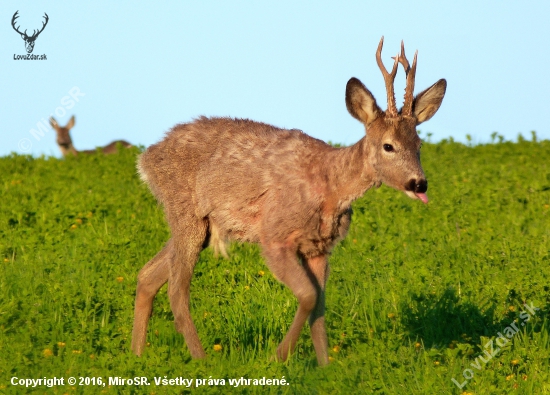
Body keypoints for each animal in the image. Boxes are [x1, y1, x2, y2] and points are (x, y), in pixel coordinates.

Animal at [133, 38, 448, 368]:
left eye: (419, 144)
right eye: (389, 146)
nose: (419, 183)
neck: (330, 187)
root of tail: (146, 158)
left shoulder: (320, 247)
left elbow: (320, 305)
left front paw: (325, 366)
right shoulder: (274, 237)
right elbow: (308, 296)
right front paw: (279, 357)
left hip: (204, 226)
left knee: (147, 275)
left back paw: (136, 354)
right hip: (185, 211)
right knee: (176, 288)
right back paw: (201, 359)